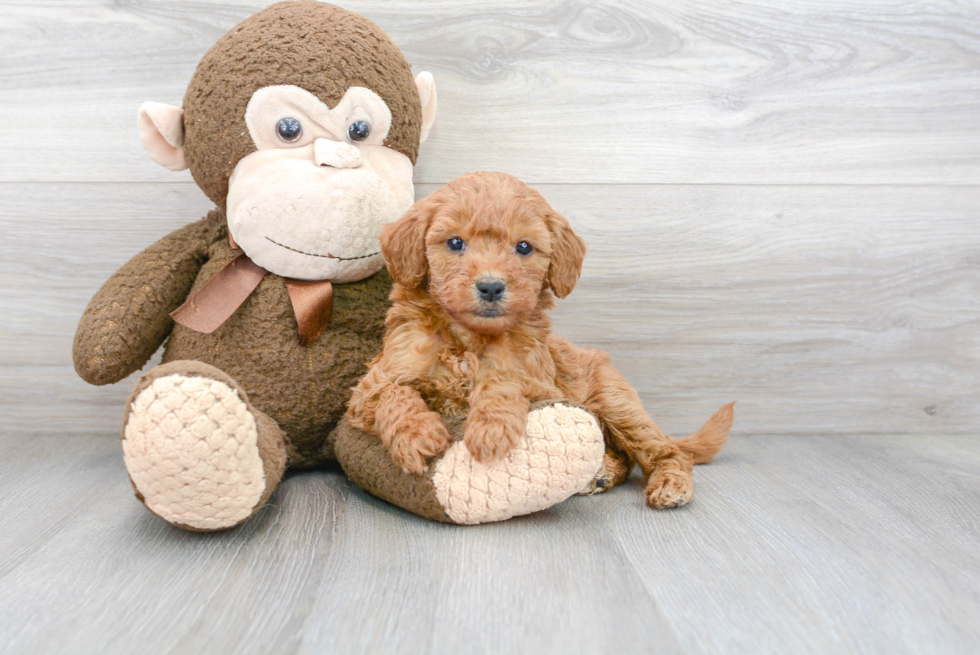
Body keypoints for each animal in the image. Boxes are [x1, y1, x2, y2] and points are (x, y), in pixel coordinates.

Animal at [348, 173, 732, 508]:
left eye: (523, 247)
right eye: (455, 242)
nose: (491, 286)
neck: (469, 339)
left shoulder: (543, 386)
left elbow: (505, 380)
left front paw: (490, 429)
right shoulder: (373, 385)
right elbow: (394, 393)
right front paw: (418, 435)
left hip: (617, 403)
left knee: (663, 449)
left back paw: (669, 483)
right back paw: (603, 472)